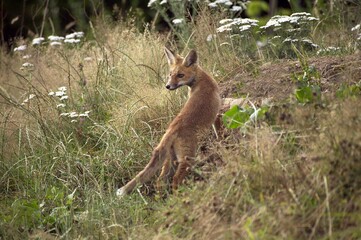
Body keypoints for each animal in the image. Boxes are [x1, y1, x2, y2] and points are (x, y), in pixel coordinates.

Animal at [116, 47, 221, 197]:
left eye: (180, 75)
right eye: (170, 74)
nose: (167, 86)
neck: (200, 80)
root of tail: (171, 129)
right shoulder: (217, 113)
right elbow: (219, 131)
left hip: (170, 160)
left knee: (160, 181)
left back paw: (162, 199)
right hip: (187, 159)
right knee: (175, 180)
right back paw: (180, 197)